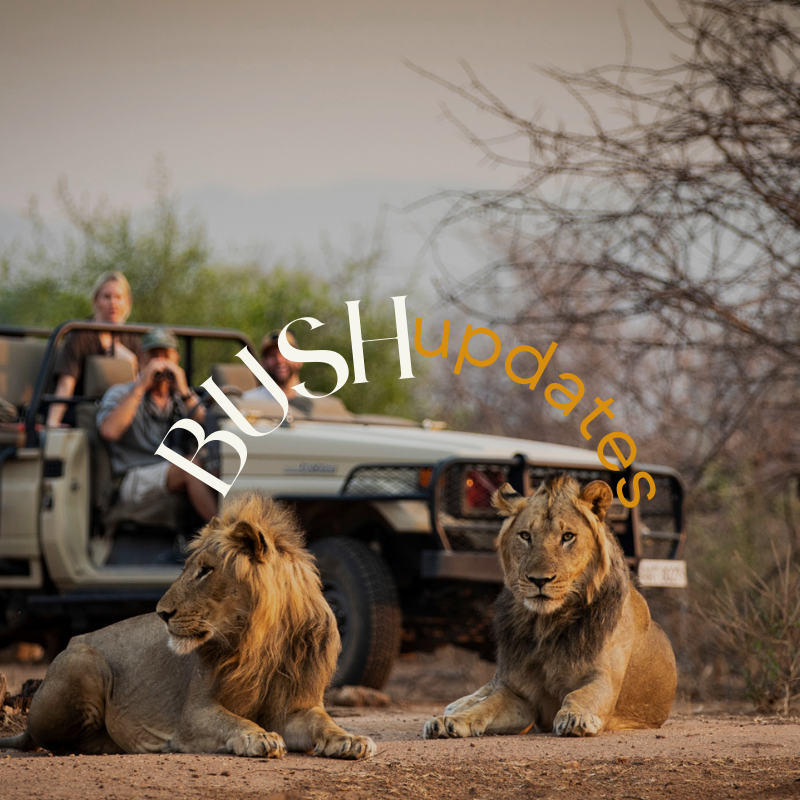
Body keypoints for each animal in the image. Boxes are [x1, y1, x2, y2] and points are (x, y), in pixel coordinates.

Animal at [0, 493, 376, 759]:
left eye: (206, 570)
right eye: (188, 568)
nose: (161, 613)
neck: (261, 641)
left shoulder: (296, 707)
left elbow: (323, 721)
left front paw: (351, 739)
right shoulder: (194, 713)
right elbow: (232, 720)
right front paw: (257, 735)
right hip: (85, 660)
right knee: (55, 741)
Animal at [424, 475, 677, 739]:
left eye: (567, 536)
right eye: (525, 536)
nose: (539, 580)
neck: (547, 624)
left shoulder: (604, 681)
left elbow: (580, 695)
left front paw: (576, 717)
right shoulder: (518, 692)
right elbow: (487, 705)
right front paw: (449, 721)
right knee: (489, 686)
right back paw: (456, 706)